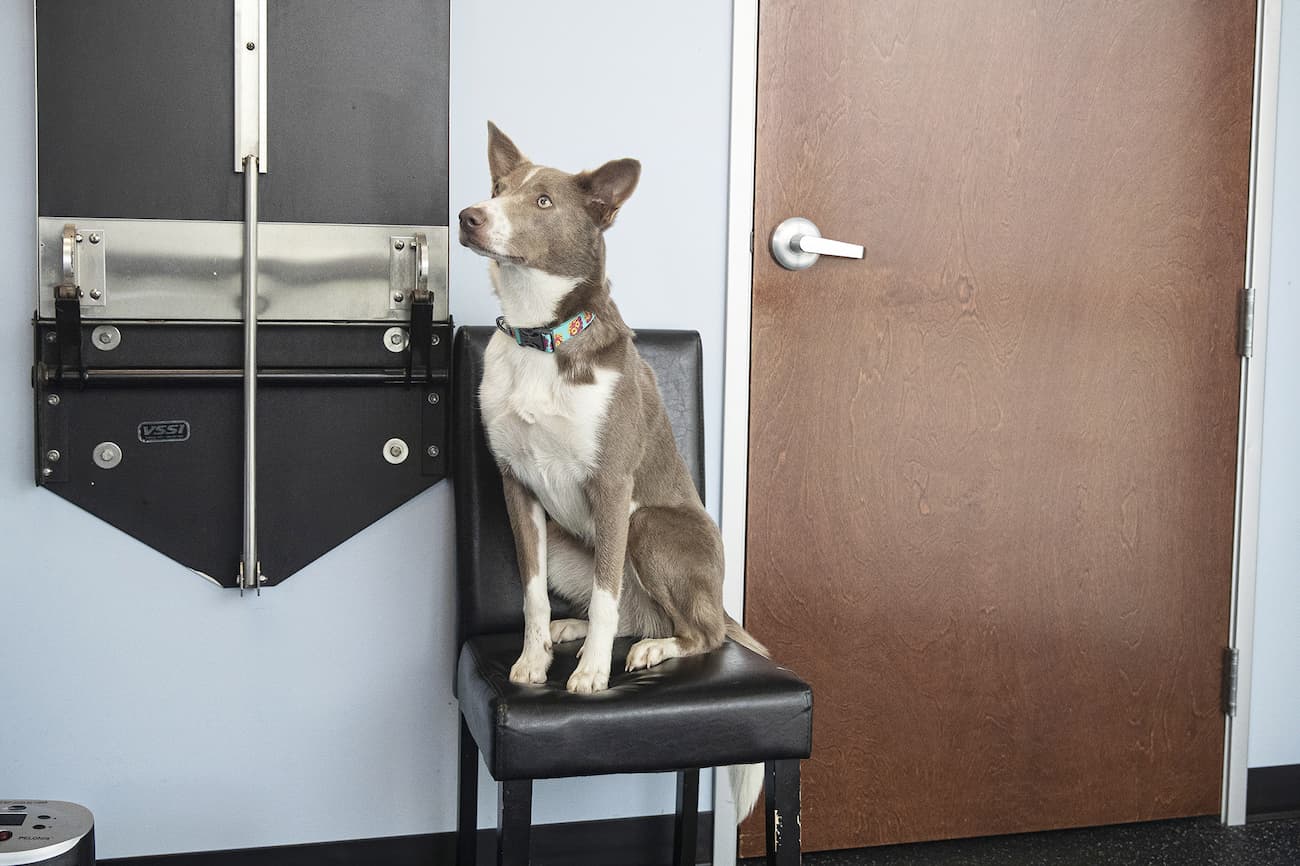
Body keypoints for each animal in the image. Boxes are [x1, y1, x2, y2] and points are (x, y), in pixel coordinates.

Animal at [457, 122, 764, 816]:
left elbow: (604, 595)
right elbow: (532, 593)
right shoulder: (517, 487)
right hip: (573, 540)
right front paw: (535, 658)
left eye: (543, 201)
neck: (541, 335)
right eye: (497, 187)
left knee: (700, 631)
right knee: (626, 606)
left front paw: (593, 673)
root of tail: (718, 595)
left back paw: (654, 646)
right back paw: (572, 630)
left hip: (647, 525)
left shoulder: (612, 486)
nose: (469, 216)